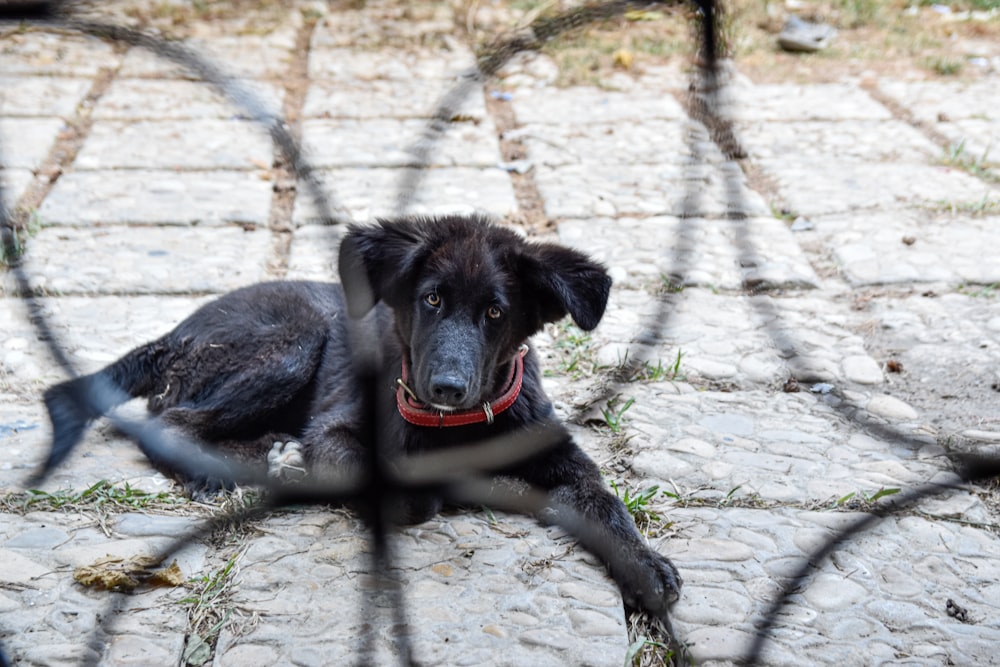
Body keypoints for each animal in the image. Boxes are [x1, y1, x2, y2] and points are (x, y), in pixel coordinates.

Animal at [41, 218, 680, 620]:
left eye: (496, 313)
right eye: (431, 300)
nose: (446, 388)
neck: (459, 426)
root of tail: (175, 333)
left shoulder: (560, 456)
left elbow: (604, 502)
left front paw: (645, 566)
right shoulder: (338, 429)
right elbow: (408, 494)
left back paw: (277, 456)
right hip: (296, 338)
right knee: (172, 420)